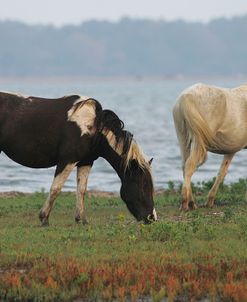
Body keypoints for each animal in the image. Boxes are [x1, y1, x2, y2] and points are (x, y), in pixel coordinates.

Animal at [0, 91, 156, 225]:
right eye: (143, 185)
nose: (152, 217)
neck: (93, 127)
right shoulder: (67, 160)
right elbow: (56, 188)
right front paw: (44, 218)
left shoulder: (86, 162)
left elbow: (81, 189)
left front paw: (82, 219)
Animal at [173, 82, 247, 210]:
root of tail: (186, 96)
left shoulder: (230, 151)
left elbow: (221, 172)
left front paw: (210, 201)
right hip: (197, 141)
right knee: (190, 165)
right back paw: (185, 203)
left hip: (183, 139)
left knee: (184, 166)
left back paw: (192, 202)